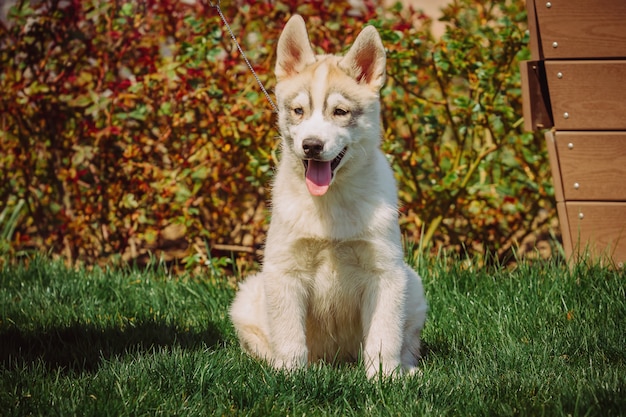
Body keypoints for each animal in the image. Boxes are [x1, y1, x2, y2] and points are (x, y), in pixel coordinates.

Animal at [230, 14, 428, 376]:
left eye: (340, 112)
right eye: (298, 110)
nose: (312, 145)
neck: (330, 203)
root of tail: (339, 361)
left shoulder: (385, 272)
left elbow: (384, 335)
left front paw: (385, 377)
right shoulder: (284, 270)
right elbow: (290, 336)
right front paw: (289, 375)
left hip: (413, 284)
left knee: (406, 342)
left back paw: (407, 370)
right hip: (248, 296)